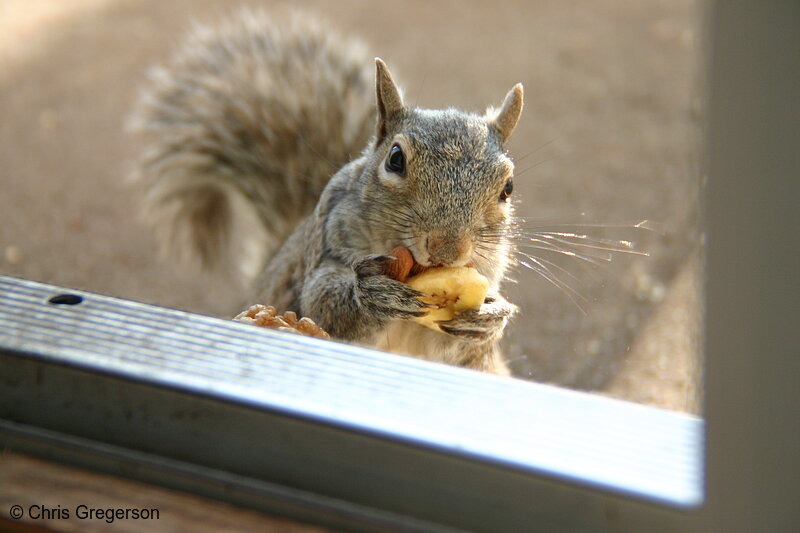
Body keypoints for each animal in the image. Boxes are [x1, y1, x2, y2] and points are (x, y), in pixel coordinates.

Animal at [128, 9, 520, 374]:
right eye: (395, 159)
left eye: (508, 187)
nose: (447, 250)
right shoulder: (326, 244)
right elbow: (323, 302)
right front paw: (371, 295)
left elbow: (457, 348)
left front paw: (490, 317)